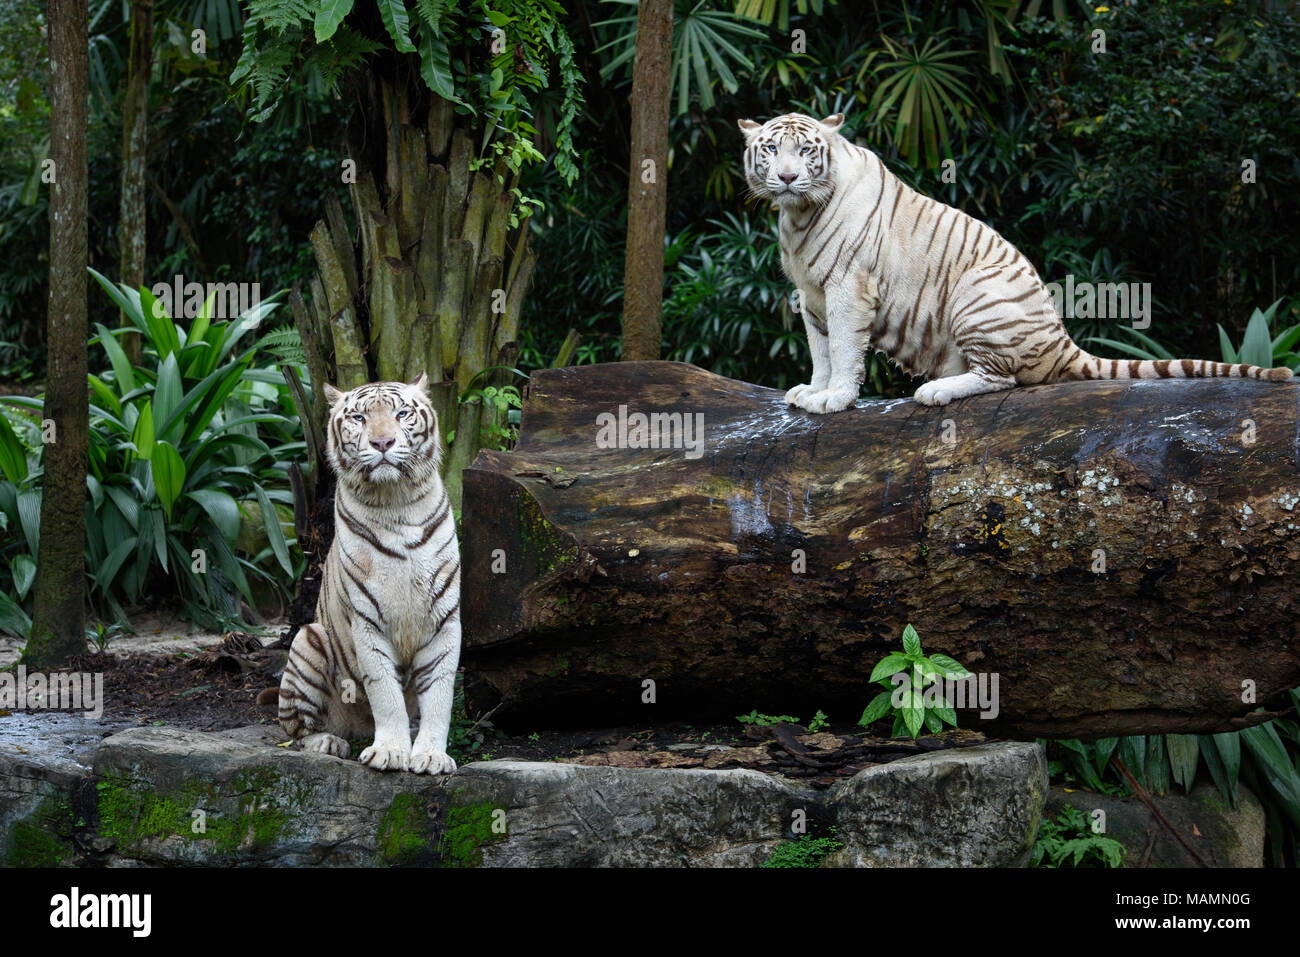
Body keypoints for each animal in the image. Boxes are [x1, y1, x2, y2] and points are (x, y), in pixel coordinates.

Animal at [277, 373, 461, 775]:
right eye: (359, 418)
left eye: (402, 413)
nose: (382, 443)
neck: (397, 502)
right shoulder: (367, 620)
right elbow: (384, 691)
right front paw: (390, 751)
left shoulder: (444, 619)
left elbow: (440, 695)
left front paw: (430, 755)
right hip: (308, 639)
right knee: (297, 731)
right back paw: (328, 742)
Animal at [738, 112, 1293, 410]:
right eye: (771, 149)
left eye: (805, 152)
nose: (786, 178)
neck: (798, 217)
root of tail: (1061, 341)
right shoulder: (810, 294)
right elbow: (821, 349)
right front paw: (811, 391)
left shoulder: (847, 287)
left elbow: (845, 350)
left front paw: (834, 399)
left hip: (977, 295)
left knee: (1001, 378)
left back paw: (934, 391)